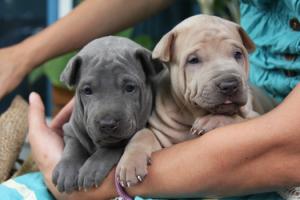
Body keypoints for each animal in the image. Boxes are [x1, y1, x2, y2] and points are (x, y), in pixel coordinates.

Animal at [52, 35, 163, 192]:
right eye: (87, 90)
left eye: (130, 88)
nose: (108, 124)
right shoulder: (71, 129)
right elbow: (73, 147)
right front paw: (66, 171)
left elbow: (110, 149)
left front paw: (91, 169)